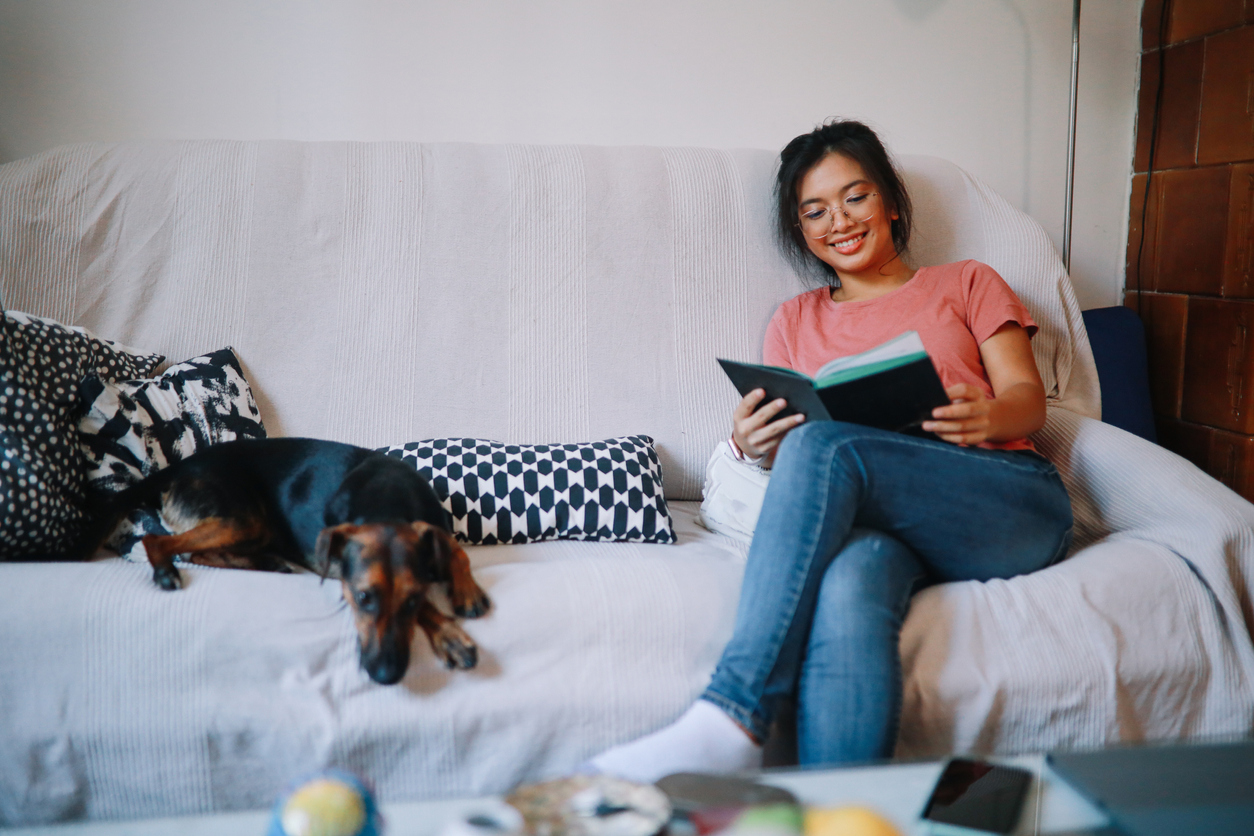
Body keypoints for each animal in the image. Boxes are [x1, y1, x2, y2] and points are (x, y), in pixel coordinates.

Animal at [78, 438, 489, 686]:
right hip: (244, 517)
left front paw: (466, 590)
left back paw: (269, 563)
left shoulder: (435, 531)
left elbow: (456, 551)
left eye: (413, 598)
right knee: (159, 541)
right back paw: (167, 570)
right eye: (362, 598)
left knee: (197, 552)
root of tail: (178, 467)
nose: (385, 675)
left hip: (246, 526)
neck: (389, 501)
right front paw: (450, 636)